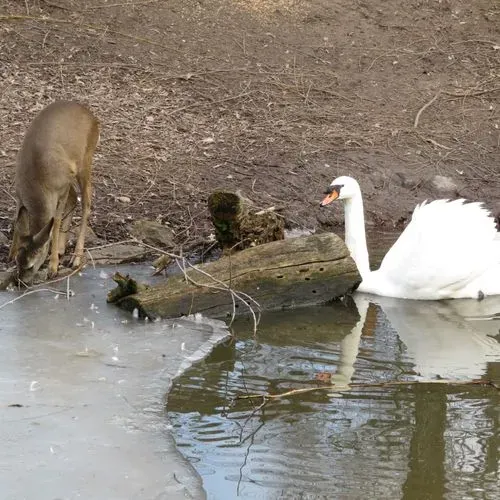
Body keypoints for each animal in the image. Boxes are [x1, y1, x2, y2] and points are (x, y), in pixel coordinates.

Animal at [7, 100, 99, 282]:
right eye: (18, 262)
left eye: (31, 266)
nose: (20, 280)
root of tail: (93, 117)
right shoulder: (19, 191)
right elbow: (17, 218)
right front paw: (10, 254)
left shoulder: (60, 189)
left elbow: (55, 222)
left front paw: (53, 267)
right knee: (74, 198)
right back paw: (63, 250)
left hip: (85, 161)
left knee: (86, 202)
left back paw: (75, 258)